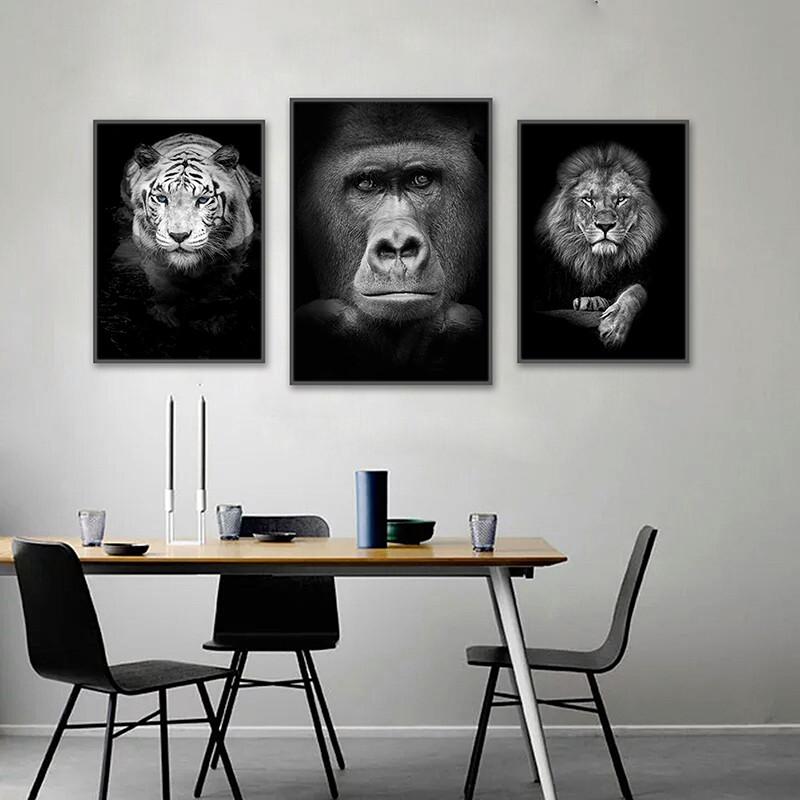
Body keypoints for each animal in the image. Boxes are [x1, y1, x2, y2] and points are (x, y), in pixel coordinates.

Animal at [536, 142, 663, 349]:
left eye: (621, 199)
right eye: (588, 200)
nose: (605, 225)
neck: (597, 262)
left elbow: (636, 291)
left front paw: (614, 326)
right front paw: (592, 301)